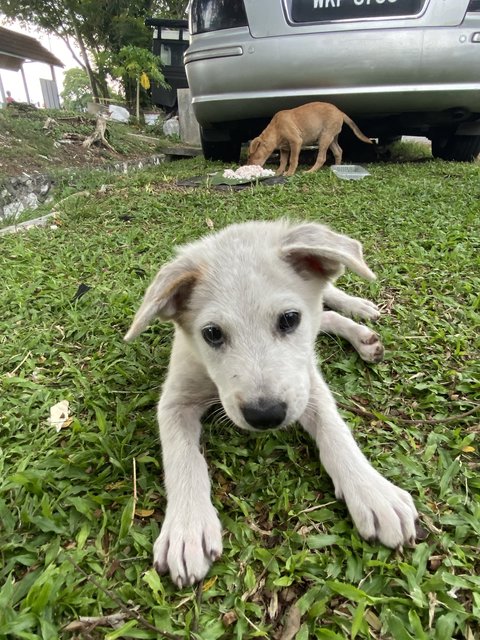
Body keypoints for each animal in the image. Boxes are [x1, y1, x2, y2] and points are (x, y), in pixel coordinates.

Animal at [124, 221, 420, 592]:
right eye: (212, 334)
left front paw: (372, 491)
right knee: (325, 314)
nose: (265, 416)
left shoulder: (305, 382)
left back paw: (359, 311)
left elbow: (336, 431)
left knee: (328, 298)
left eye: (289, 319)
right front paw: (187, 528)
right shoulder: (175, 400)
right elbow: (183, 459)